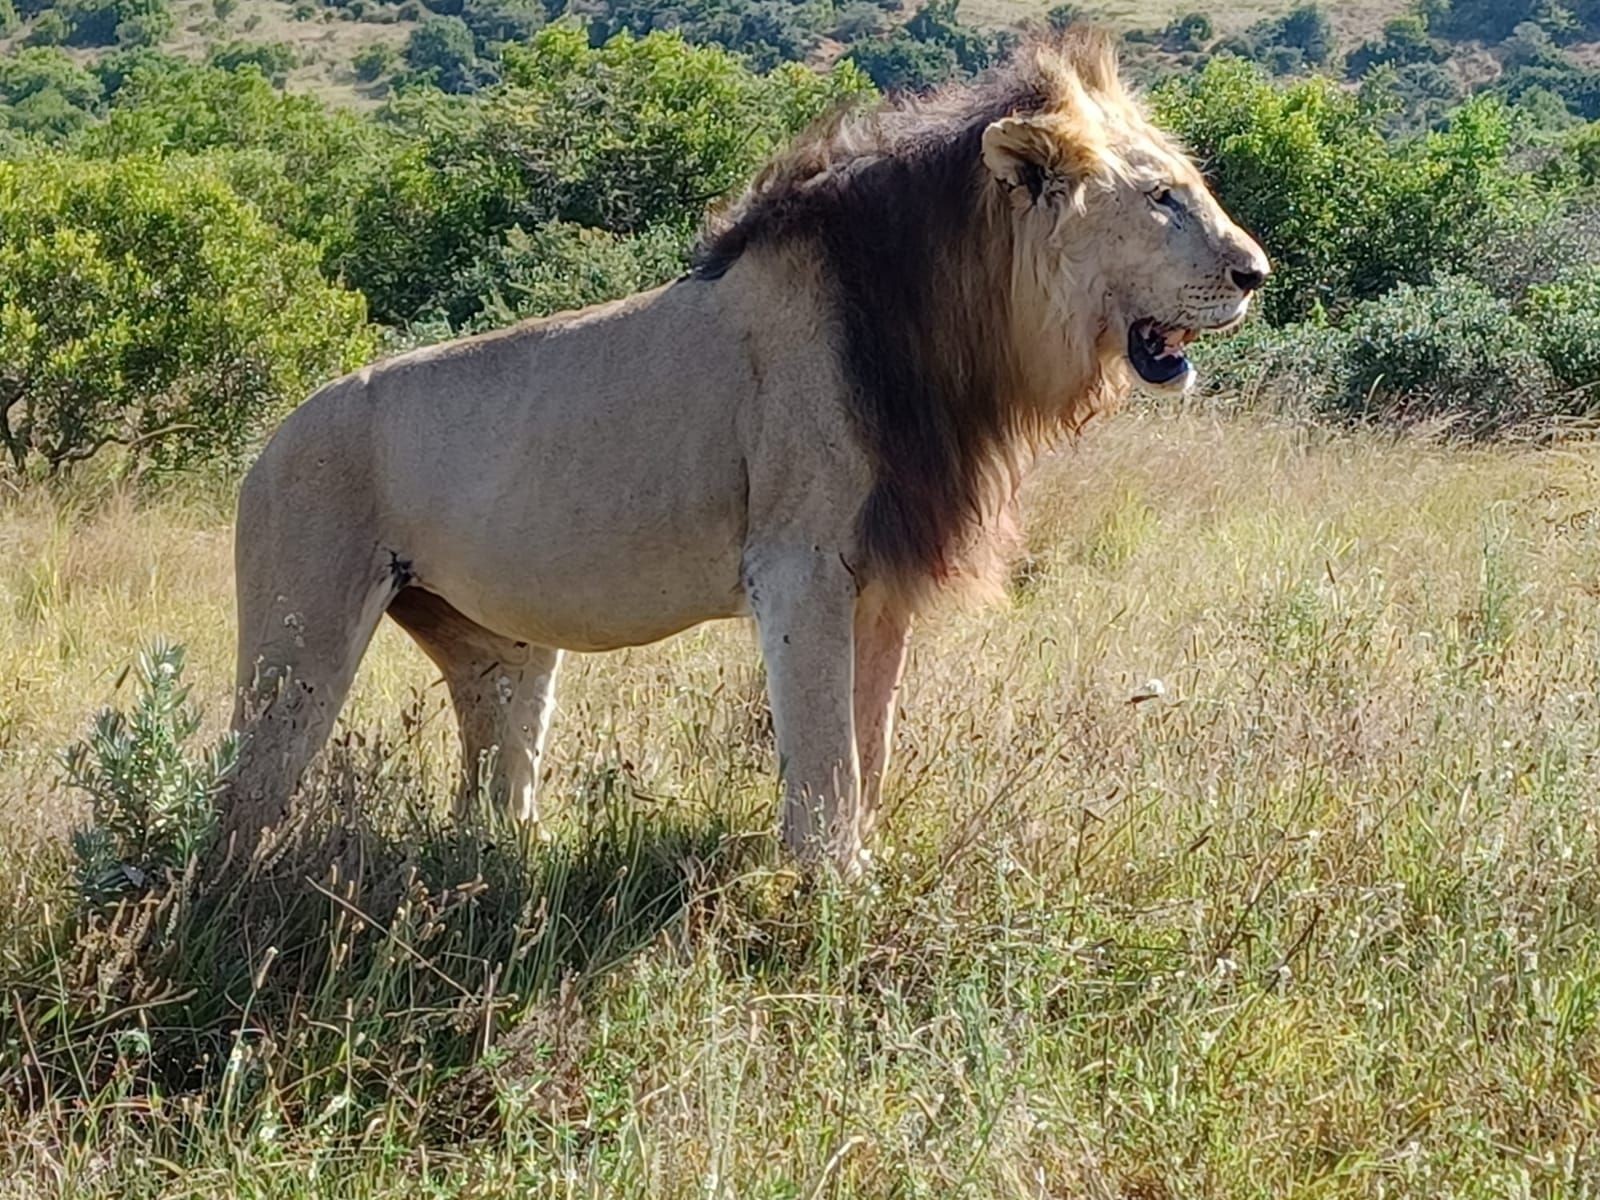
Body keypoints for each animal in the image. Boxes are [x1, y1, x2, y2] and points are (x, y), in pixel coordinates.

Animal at [228, 28, 1273, 876]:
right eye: (1164, 198)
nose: (1255, 273)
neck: (955, 333)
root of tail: (270, 440)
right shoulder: (798, 563)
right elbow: (823, 751)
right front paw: (831, 887)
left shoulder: (880, 581)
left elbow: (867, 741)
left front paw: (861, 860)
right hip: (297, 636)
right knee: (244, 796)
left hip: (497, 650)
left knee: (492, 788)